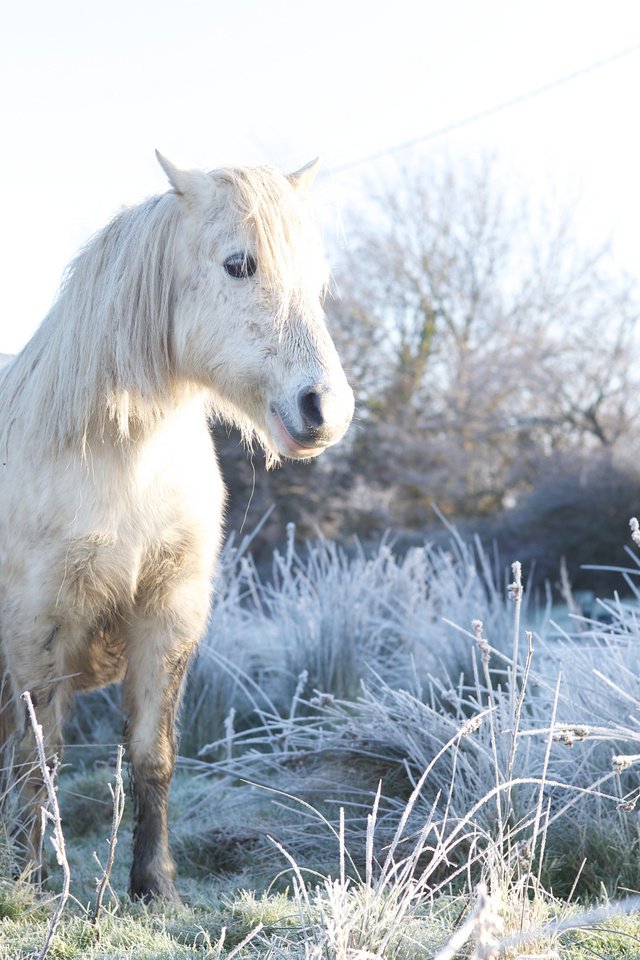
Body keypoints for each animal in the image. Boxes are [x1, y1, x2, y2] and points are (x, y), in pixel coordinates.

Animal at [0, 152, 356, 900]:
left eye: (318, 279)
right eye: (238, 264)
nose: (325, 410)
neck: (119, 460)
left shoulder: (168, 614)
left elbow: (152, 754)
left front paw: (155, 885)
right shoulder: (35, 627)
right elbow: (37, 760)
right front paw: (30, 881)